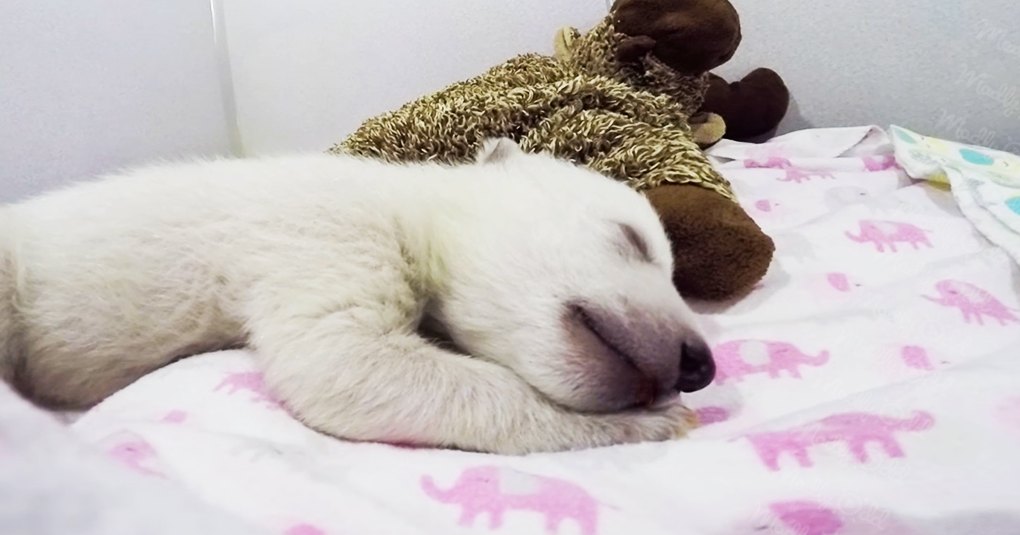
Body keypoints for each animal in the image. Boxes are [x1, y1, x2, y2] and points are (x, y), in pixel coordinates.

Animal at [0, 139, 714, 454]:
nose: (698, 363)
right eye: (632, 238)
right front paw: (643, 424)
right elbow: (344, 360)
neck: (408, 204)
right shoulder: (329, 226)